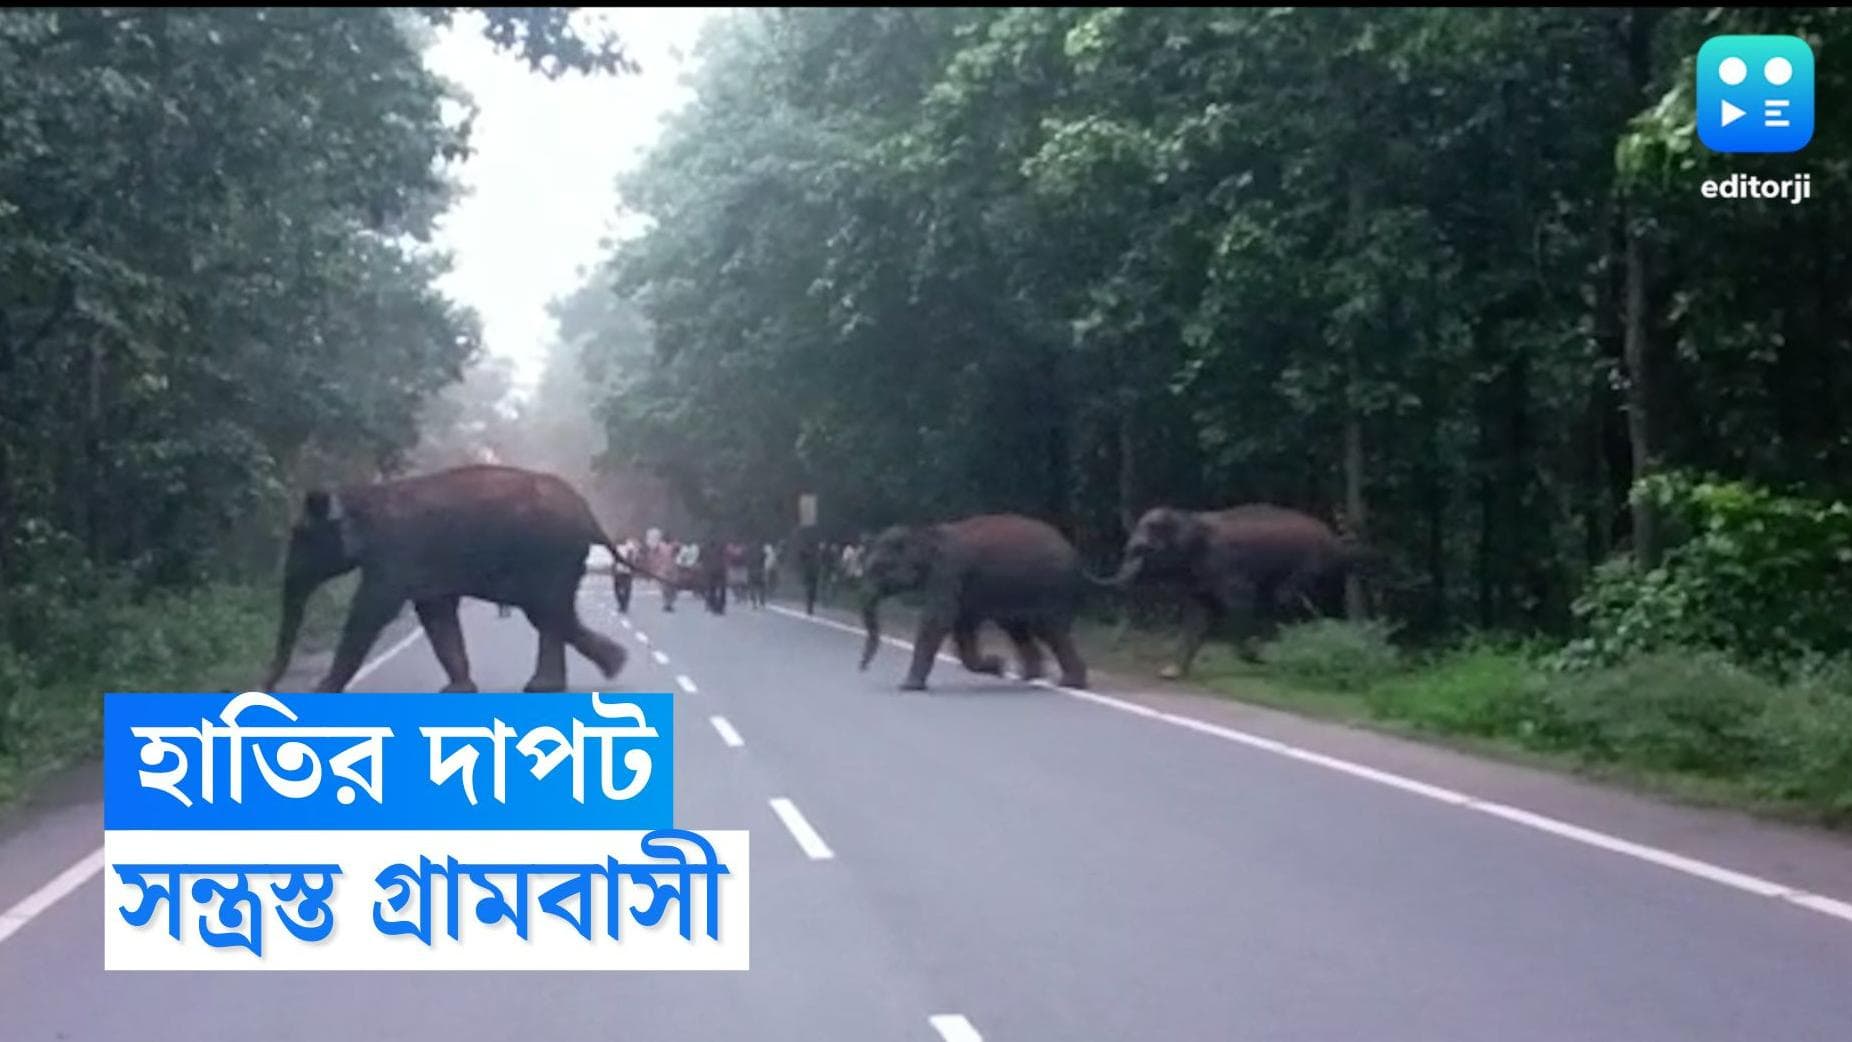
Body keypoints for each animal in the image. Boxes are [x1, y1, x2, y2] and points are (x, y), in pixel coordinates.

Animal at [259, 463, 672, 694]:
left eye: (301, 536)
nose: (266, 686)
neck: (362, 496)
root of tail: (589, 515)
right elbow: (435, 613)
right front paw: (457, 690)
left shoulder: (395, 553)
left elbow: (371, 610)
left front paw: (322, 691)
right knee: (551, 613)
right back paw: (590, 671)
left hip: (550, 555)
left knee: (546, 611)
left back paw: (594, 670)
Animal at [858, 513, 1089, 692]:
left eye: (879, 568)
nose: (862, 667)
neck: (925, 533)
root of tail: (1074, 553)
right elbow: (962, 623)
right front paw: (996, 666)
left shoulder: (949, 571)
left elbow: (939, 618)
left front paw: (908, 686)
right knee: (1017, 628)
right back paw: (1028, 677)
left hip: (1052, 588)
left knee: (1048, 629)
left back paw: (1069, 683)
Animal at [1091, 503, 1378, 680]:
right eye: (1129, 549)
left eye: (1144, 550)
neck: (1188, 518)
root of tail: (1338, 544)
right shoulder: (1198, 580)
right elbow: (1197, 617)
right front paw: (1171, 672)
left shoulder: (1225, 566)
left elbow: (1240, 604)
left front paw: (1255, 657)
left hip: (1309, 568)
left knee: (1289, 602)